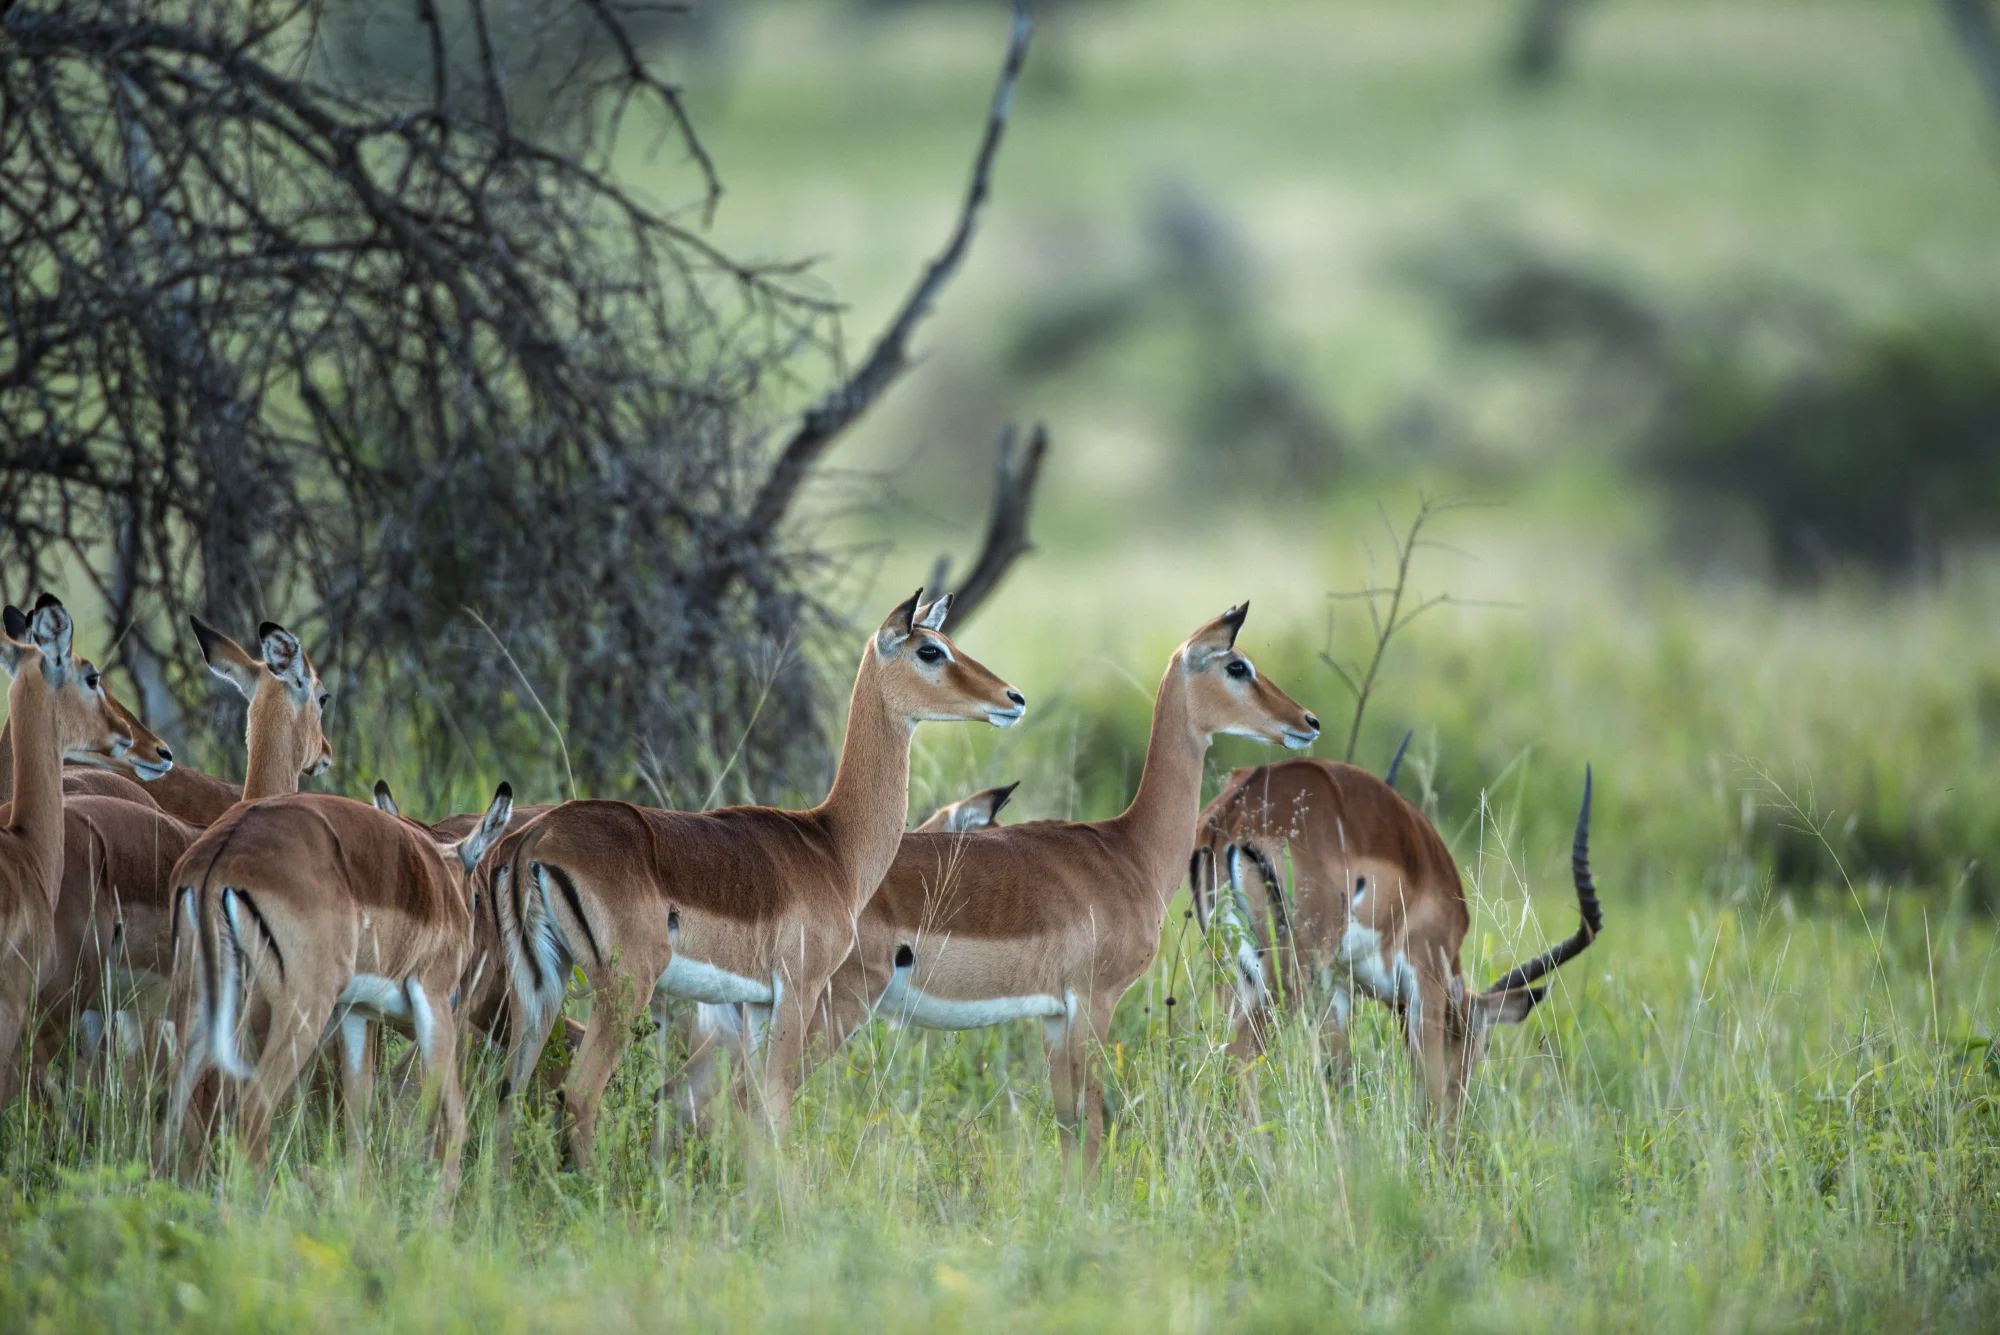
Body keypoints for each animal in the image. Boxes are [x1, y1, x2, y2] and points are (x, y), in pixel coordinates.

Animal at [487, 589, 1024, 1166]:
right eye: (929, 651)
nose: (1013, 698)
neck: (833, 844)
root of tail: (536, 840)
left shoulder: (756, 1002)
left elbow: (753, 1110)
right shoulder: (798, 989)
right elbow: (775, 1110)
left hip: (539, 982)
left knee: (508, 1088)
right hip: (624, 985)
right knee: (580, 1093)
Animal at [789, 604, 1317, 1167]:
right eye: (1237, 666)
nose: (1307, 722)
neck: (1129, 850)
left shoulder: (1053, 1016)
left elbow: (1067, 1125)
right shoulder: (1093, 1002)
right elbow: (1092, 1124)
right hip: (826, 1009)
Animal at [1191, 758, 1604, 1123]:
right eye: (1479, 1042)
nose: (1463, 1097)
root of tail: (1235, 808)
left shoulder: (1338, 986)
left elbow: (1339, 1080)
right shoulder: (1427, 984)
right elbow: (1429, 1092)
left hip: (1234, 970)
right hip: (1289, 972)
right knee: (1239, 1057)